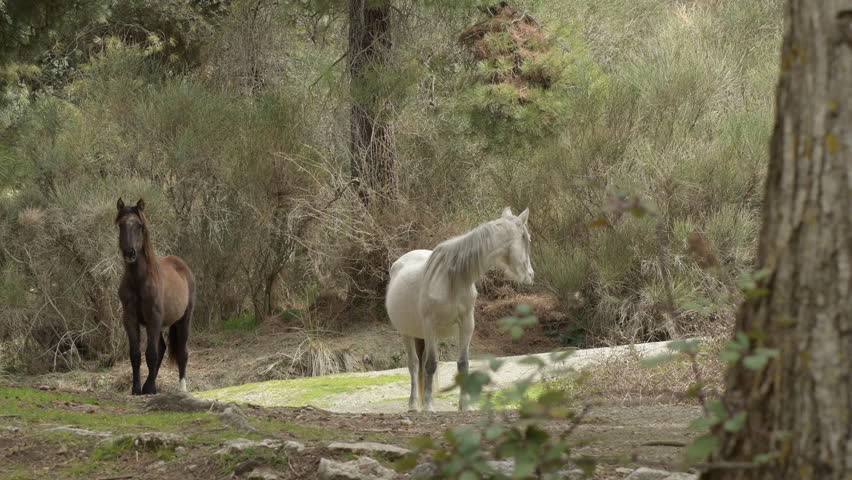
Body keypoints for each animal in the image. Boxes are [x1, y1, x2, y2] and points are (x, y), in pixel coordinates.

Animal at [115, 198, 195, 395]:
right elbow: (136, 354)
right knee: (162, 348)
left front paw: (150, 389)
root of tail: (182, 266)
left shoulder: (154, 318)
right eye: (121, 225)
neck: (139, 280)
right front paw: (137, 388)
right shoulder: (131, 319)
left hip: (183, 320)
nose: (130, 253)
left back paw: (181, 388)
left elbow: (151, 354)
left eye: (139, 225)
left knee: (182, 352)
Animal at [385, 207, 534, 412]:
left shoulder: (466, 325)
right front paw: (429, 407)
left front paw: (465, 406)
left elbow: (463, 364)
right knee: (414, 365)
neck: (451, 279)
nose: (530, 275)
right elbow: (430, 364)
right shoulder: (430, 325)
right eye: (527, 238)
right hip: (407, 333)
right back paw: (414, 405)